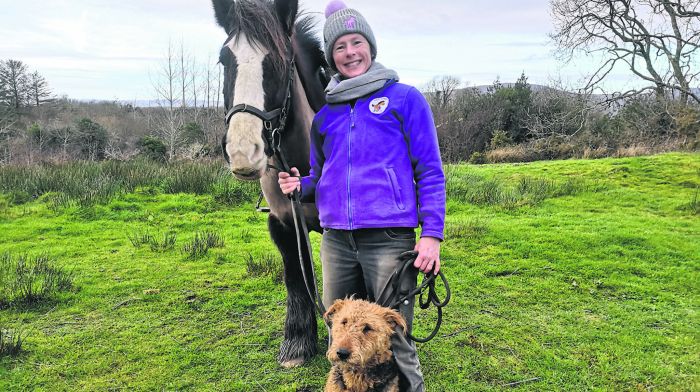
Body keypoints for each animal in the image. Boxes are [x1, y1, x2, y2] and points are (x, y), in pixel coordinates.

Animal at [211, 0, 328, 368]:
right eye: (224, 60)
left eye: (279, 61)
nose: (243, 151)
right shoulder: (284, 225)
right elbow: (296, 278)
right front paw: (298, 343)